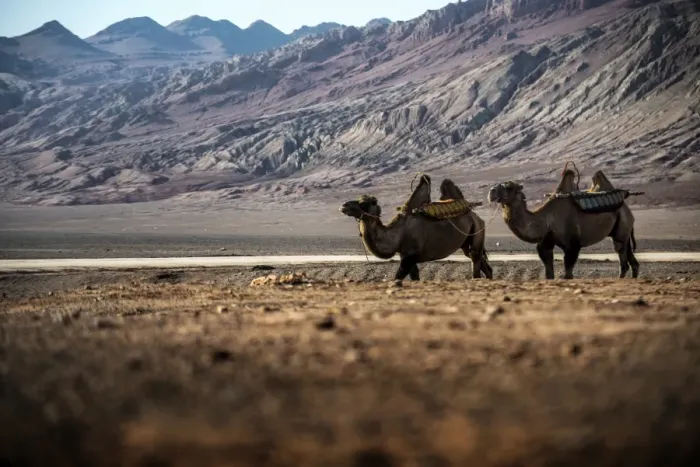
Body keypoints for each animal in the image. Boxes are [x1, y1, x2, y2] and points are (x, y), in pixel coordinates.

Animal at [340, 176, 493, 282]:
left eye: (363, 203)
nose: (344, 205)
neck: (397, 234)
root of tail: (475, 215)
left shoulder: (409, 257)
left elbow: (398, 277)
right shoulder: (406, 256)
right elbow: (415, 277)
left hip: (477, 229)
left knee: (475, 257)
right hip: (467, 239)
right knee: (480, 261)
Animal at [487, 170, 638, 279]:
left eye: (509, 186)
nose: (491, 191)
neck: (546, 221)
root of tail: (626, 207)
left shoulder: (573, 245)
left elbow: (568, 274)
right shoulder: (546, 244)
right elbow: (549, 273)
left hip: (622, 225)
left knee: (621, 254)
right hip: (622, 229)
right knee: (631, 259)